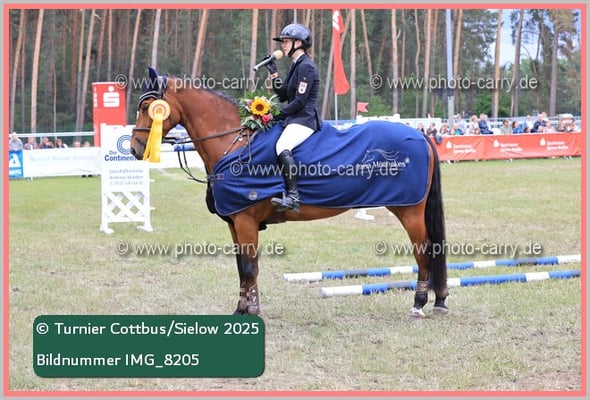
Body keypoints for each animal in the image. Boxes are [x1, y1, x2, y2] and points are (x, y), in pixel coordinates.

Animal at [130, 67, 449, 318]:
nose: (134, 149)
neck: (234, 143)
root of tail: (420, 135)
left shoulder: (245, 221)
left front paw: (253, 311)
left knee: (424, 251)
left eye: (148, 108)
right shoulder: (234, 223)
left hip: (409, 209)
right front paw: (241, 308)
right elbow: (241, 267)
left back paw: (420, 303)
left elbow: (249, 267)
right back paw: (438, 301)